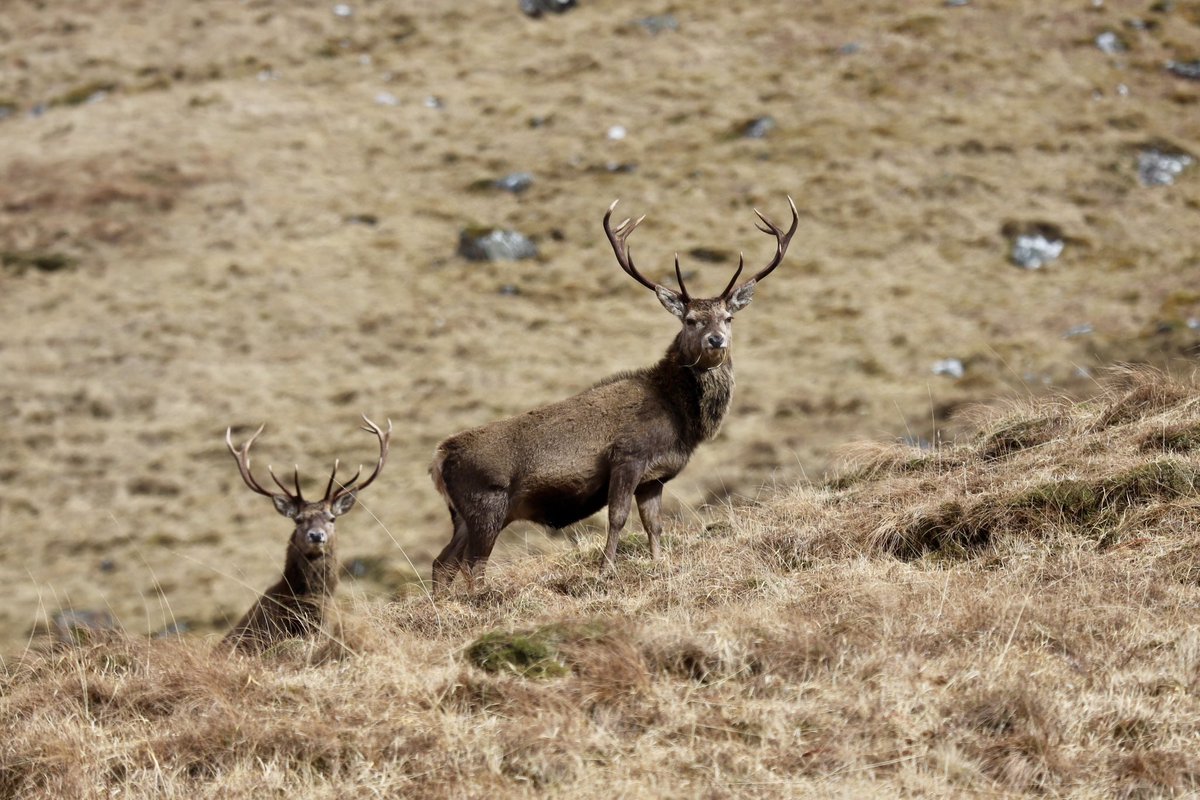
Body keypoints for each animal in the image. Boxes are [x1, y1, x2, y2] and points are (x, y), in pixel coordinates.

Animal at [429, 197, 798, 594]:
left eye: (728, 317)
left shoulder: (654, 478)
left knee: (442, 562)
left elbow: (654, 525)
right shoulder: (627, 457)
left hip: (463, 514)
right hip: (487, 504)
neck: (680, 419)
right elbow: (618, 518)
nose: (716, 341)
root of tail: (439, 459)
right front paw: (606, 570)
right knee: (472, 566)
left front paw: (658, 563)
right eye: (690, 320)